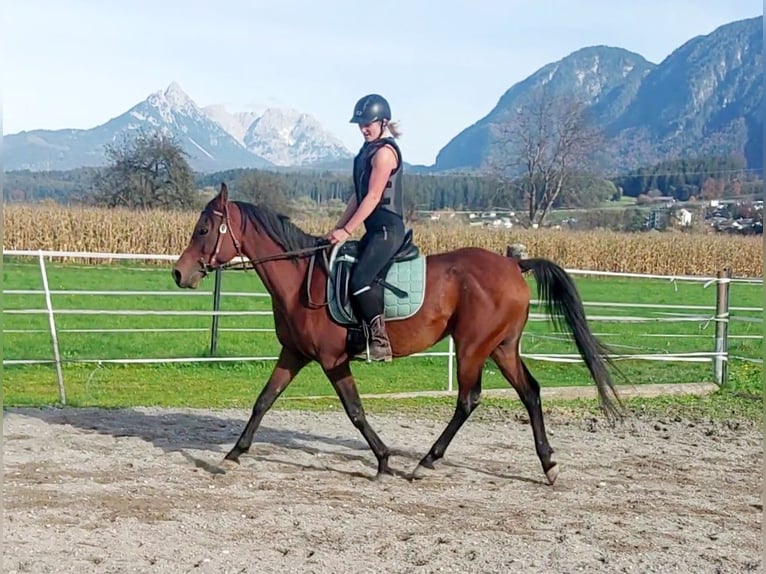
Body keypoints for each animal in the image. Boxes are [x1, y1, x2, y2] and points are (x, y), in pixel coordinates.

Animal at [171, 181, 620, 486]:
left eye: (204, 230)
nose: (179, 273)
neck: (303, 278)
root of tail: (514, 265)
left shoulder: (332, 360)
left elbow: (354, 411)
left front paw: (385, 460)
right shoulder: (294, 354)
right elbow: (263, 401)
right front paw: (234, 453)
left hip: (473, 347)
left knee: (468, 399)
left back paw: (426, 462)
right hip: (502, 347)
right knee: (530, 392)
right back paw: (548, 464)